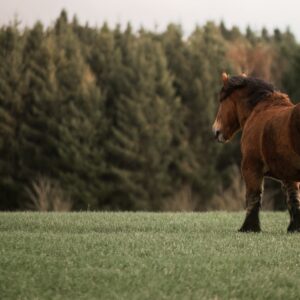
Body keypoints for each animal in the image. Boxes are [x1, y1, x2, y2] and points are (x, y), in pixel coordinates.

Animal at [212, 72, 300, 232]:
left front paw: (249, 227)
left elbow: (253, 197)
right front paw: (295, 227)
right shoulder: (289, 175)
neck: (260, 109)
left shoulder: (250, 168)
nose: (216, 131)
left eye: (221, 101)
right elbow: (293, 198)